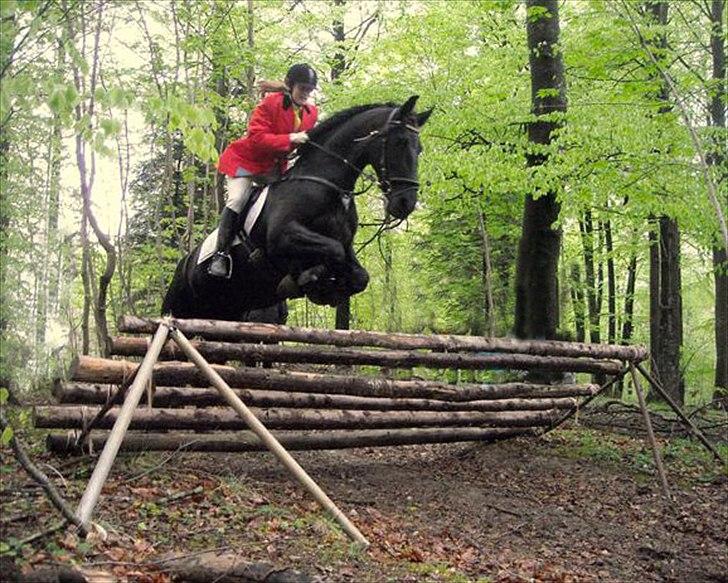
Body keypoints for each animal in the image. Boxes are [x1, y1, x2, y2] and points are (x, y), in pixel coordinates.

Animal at [161, 97, 430, 322]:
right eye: (400, 142)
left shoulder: (345, 245)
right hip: (180, 308)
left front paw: (325, 289)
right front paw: (308, 280)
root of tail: (184, 264)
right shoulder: (284, 237)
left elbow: (359, 276)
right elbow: (331, 252)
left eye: (419, 149)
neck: (327, 185)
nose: (406, 203)